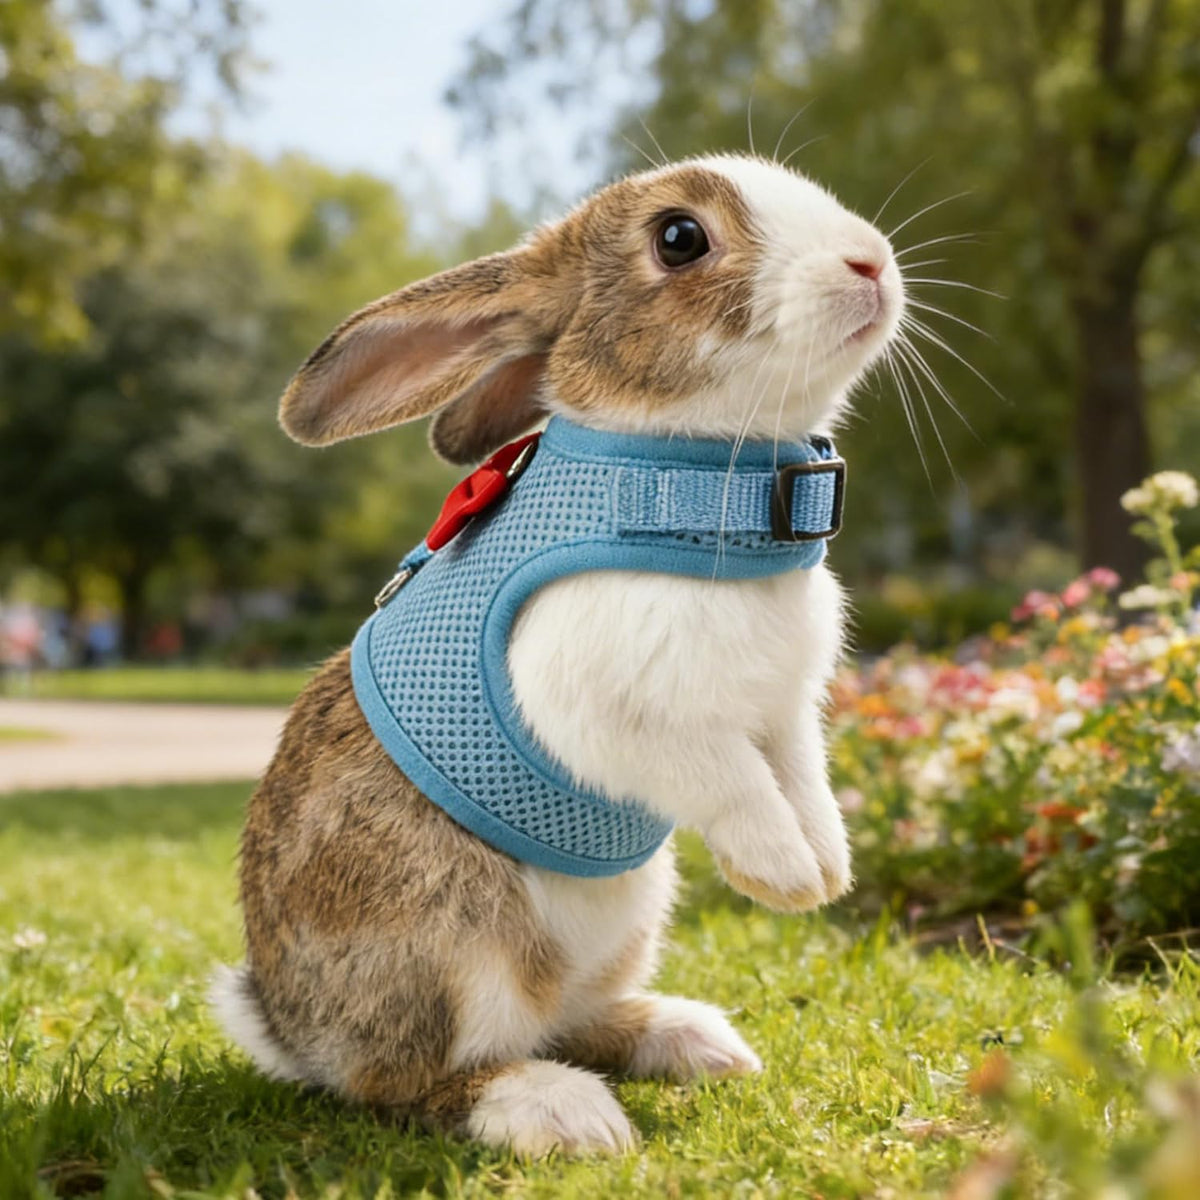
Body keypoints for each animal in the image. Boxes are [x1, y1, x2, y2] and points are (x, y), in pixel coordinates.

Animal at [212, 153, 905, 1156]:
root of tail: (291, 1028)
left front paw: (826, 873)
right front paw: (780, 877)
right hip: (455, 949)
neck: (687, 477)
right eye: (680, 238)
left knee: (573, 1020)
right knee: (409, 1083)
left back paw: (692, 1040)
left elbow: (802, 783)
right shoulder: (615, 713)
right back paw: (559, 1111)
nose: (870, 262)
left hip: (628, 918)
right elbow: (731, 780)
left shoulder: (785, 717)